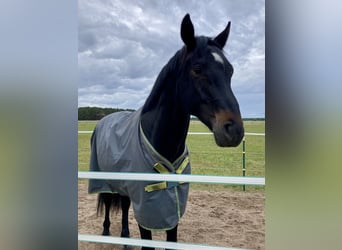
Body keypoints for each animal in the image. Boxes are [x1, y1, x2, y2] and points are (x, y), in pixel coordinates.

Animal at [87, 14, 243, 250]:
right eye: (197, 68)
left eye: (230, 70)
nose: (234, 130)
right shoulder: (145, 208)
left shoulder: (172, 208)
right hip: (105, 179)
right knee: (107, 201)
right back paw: (106, 231)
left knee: (123, 205)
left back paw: (125, 237)